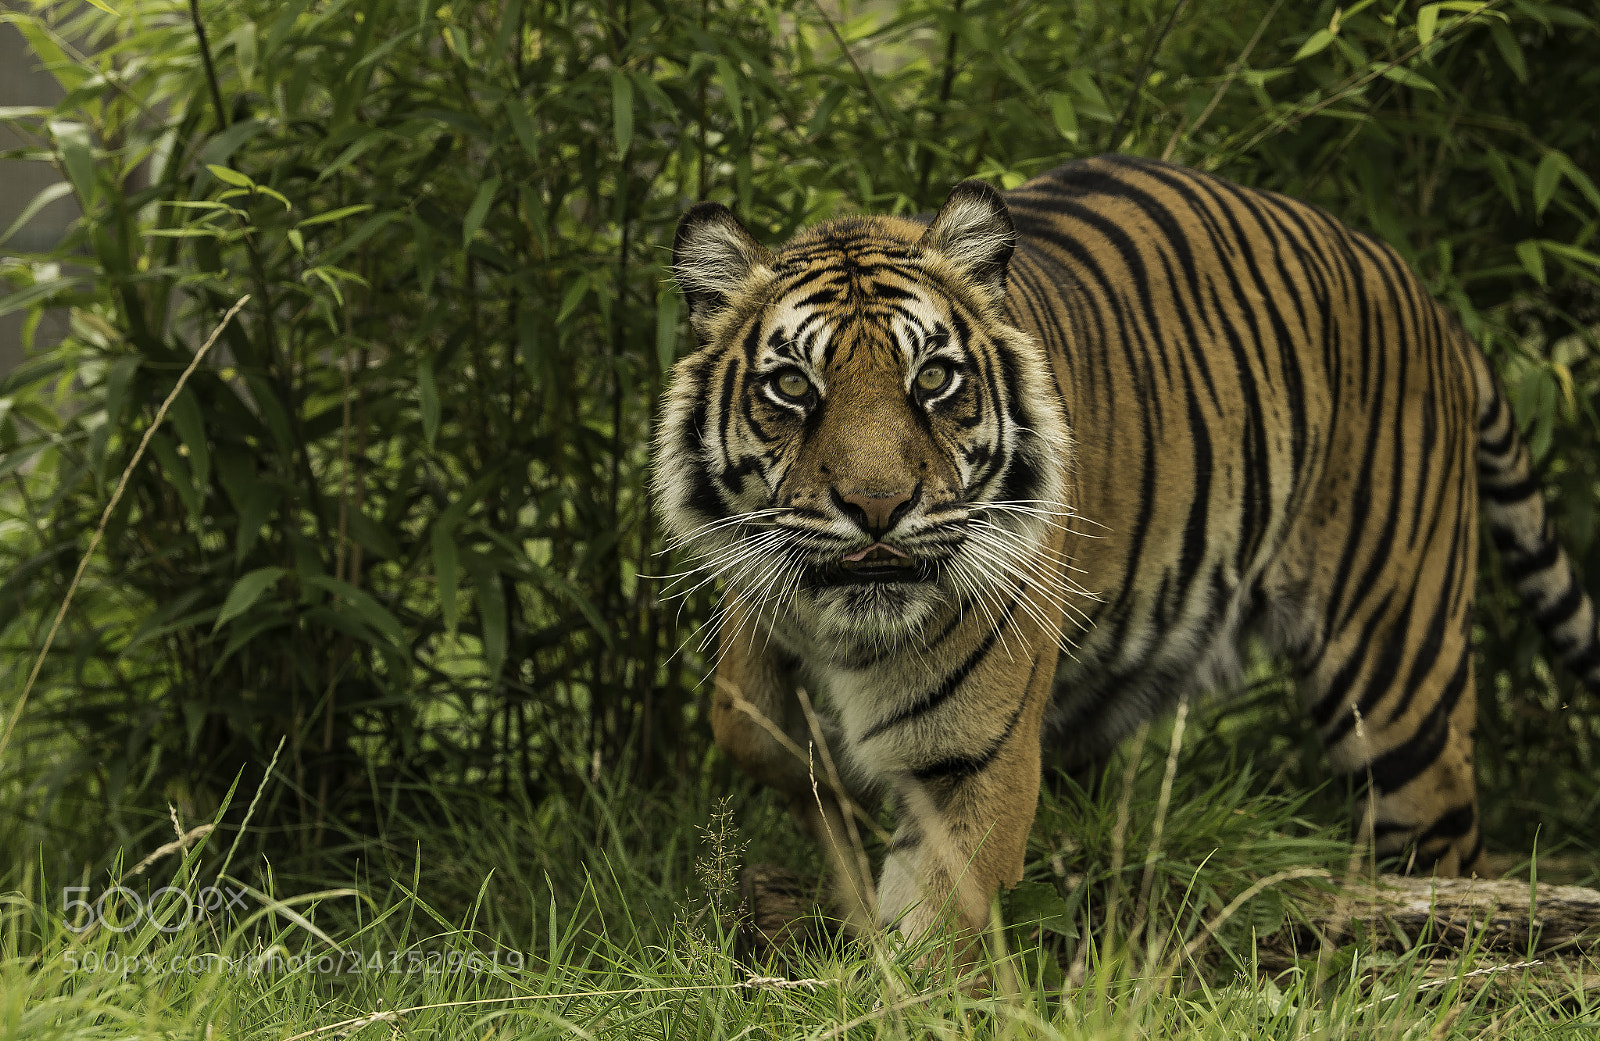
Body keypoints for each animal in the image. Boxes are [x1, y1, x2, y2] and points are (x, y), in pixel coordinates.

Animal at [651, 154, 1600, 960]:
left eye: (934, 380)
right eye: (792, 387)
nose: (878, 507)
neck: (843, 634)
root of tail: (1427, 298)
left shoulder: (974, 759)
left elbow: (939, 933)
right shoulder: (755, 697)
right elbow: (780, 756)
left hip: (1400, 684)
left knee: (1447, 871)